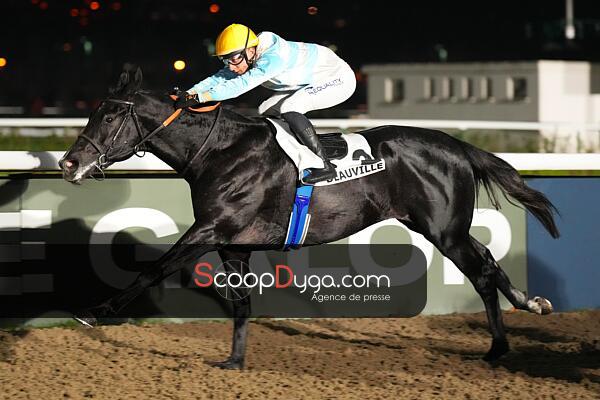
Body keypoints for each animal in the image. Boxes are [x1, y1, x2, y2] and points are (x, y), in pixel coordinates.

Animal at [59, 65, 559, 369]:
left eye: (108, 117)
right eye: (94, 112)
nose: (68, 163)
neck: (220, 152)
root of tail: (457, 145)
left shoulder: (211, 228)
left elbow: (153, 269)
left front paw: (94, 312)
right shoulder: (231, 242)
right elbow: (241, 303)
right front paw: (235, 361)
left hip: (443, 231)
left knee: (481, 273)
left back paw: (497, 348)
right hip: (445, 226)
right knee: (489, 261)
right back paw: (531, 303)